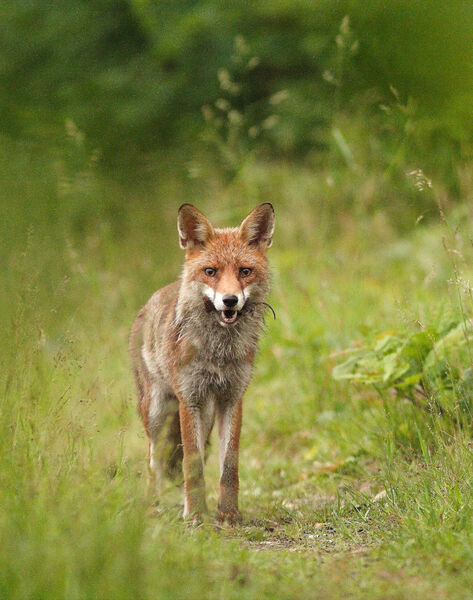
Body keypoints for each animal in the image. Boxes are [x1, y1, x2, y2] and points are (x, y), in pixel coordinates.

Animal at [129, 204, 272, 524]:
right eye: (211, 272)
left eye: (245, 272)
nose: (230, 300)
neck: (219, 352)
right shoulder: (189, 398)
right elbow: (192, 466)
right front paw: (196, 516)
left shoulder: (231, 398)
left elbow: (228, 467)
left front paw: (228, 515)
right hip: (156, 413)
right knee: (153, 462)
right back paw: (153, 507)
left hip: (205, 414)